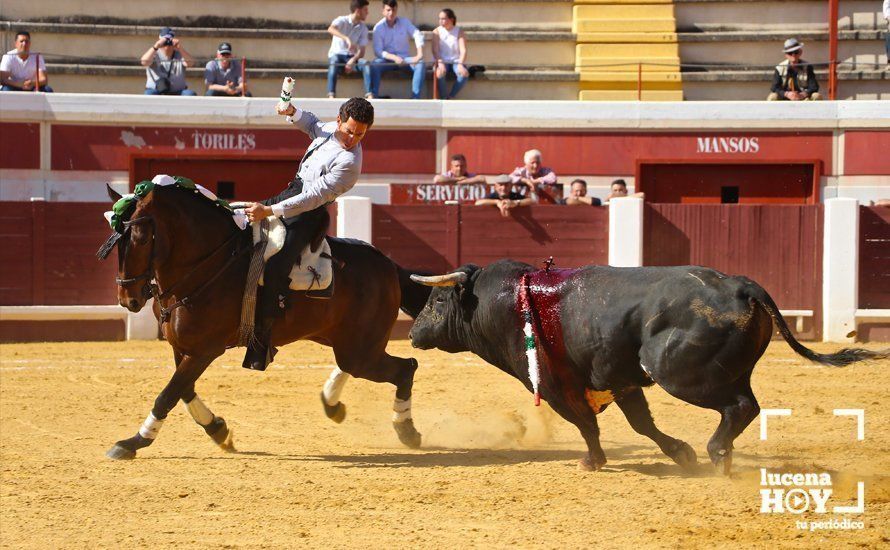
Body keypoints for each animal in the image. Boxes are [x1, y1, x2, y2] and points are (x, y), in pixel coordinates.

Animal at [100, 183, 430, 460]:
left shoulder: (205, 350)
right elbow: (184, 390)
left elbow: (168, 394)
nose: (127, 299)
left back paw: (407, 431)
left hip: (359, 349)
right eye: (114, 241)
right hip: (344, 342)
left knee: (407, 367)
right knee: (360, 366)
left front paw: (133, 442)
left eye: (141, 237)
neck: (208, 264)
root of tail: (388, 265)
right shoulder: (182, 347)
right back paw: (332, 403)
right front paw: (218, 429)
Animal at [408, 262, 880, 474]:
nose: (412, 333)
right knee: (746, 404)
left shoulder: (556, 386)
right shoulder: (619, 379)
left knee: (740, 407)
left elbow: (587, 424)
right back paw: (718, 455)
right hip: (725, 371)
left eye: (437, 300)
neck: (507, 303)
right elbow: (641, 424)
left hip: (679, 374)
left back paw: (716, 454)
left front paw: (592, 460)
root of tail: (742, 287)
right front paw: (680, 453)